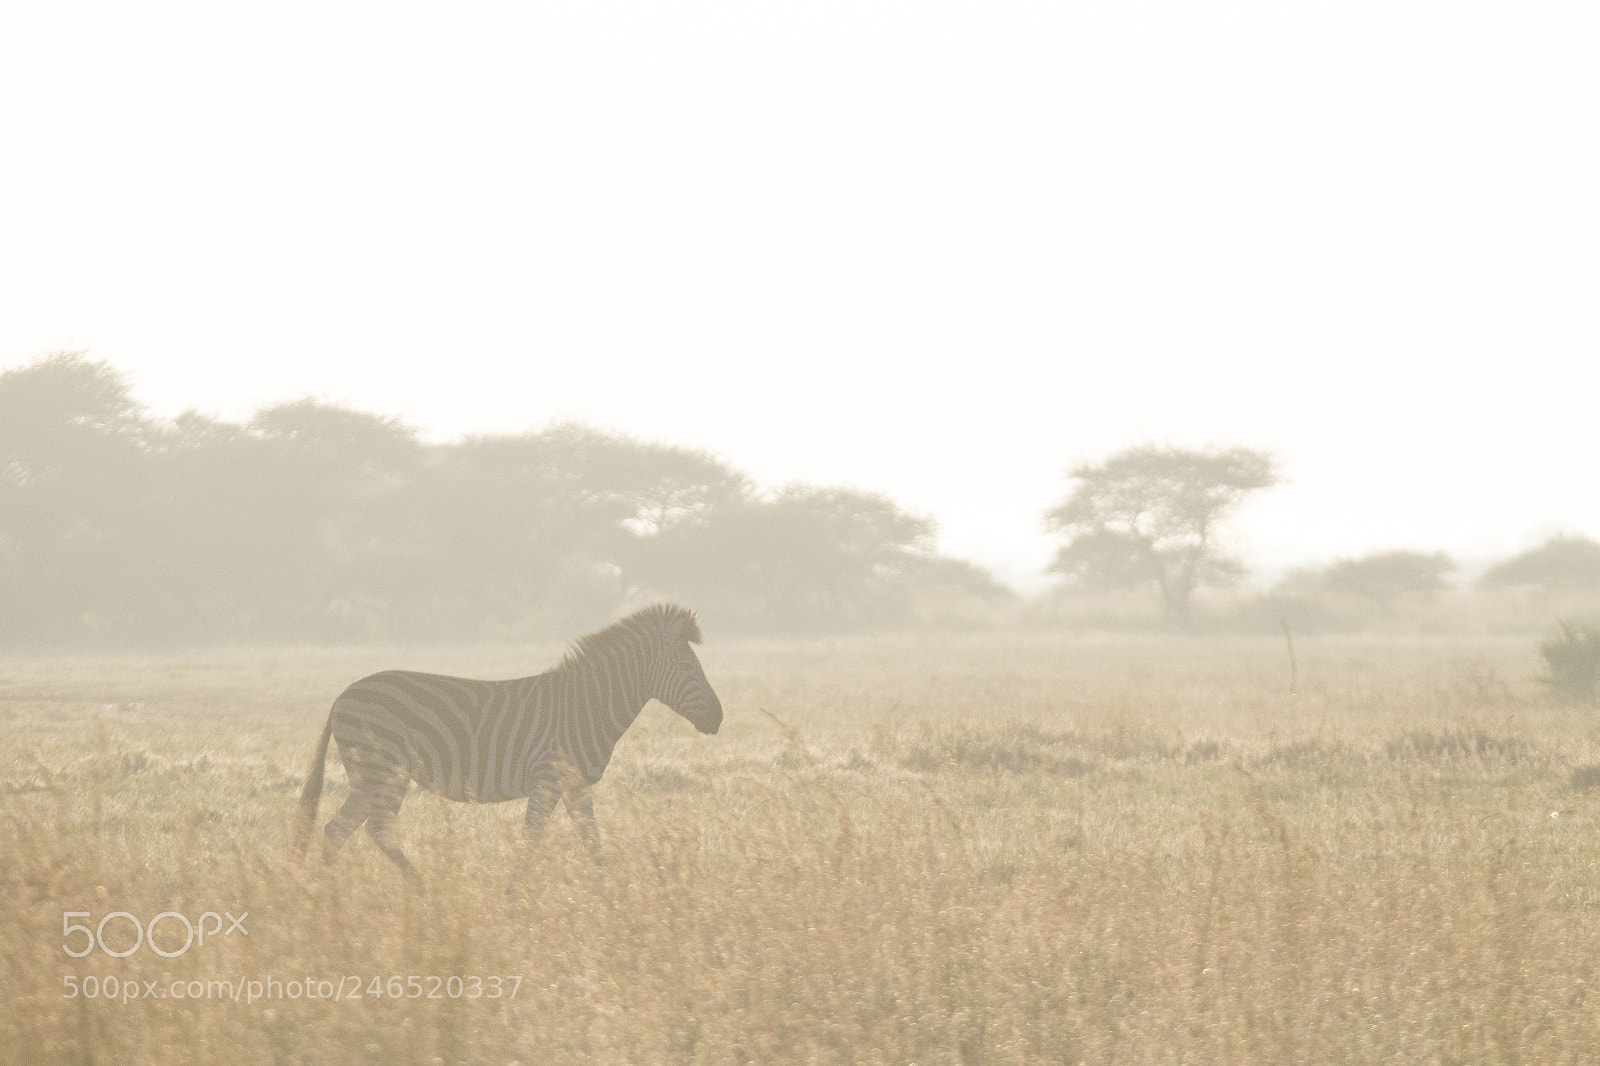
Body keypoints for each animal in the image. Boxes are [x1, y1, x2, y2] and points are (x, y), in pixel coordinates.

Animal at [288, 603, 721, 880]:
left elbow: (592, 843)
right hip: (384, 771)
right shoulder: (548, 779)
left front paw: (610, 899)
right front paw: (514, 900)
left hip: (370, 777)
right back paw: (421, 888)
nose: (718, 718)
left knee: (336, 830)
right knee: (375, 831)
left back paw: (327, 897)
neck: (588, 704)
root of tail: (342, 695)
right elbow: (532, 841)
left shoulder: (575, 785)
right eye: (686, 665)